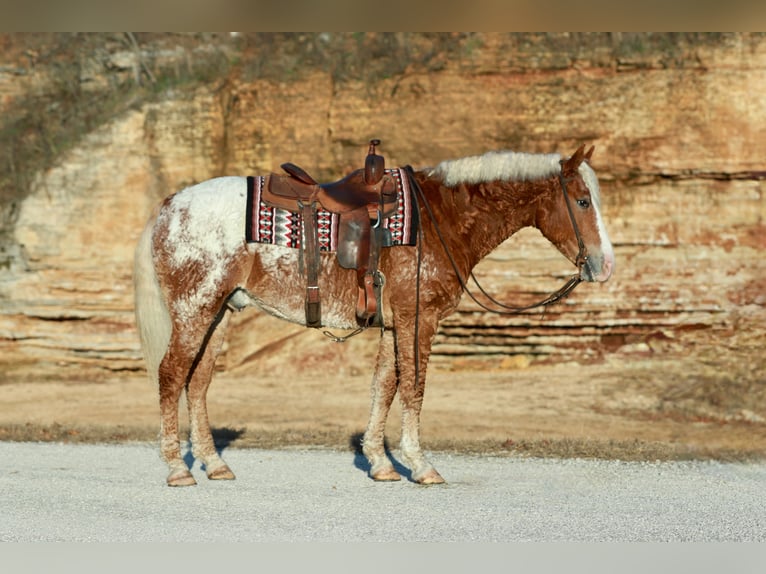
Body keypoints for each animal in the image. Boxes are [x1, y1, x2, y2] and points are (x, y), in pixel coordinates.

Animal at [133, 143, 615, 486]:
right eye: (582, 201)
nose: (605, 265)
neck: (440, 218)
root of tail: (170, 205)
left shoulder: (393, 324)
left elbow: (384, 387)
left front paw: (380, 462)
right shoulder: (417, 319)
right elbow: (414, 388)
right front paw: (420, 465)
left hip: (218, 313)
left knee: (197, 383)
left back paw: (213, 464)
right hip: (194, 309)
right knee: (172, 376)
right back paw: (178, 469)